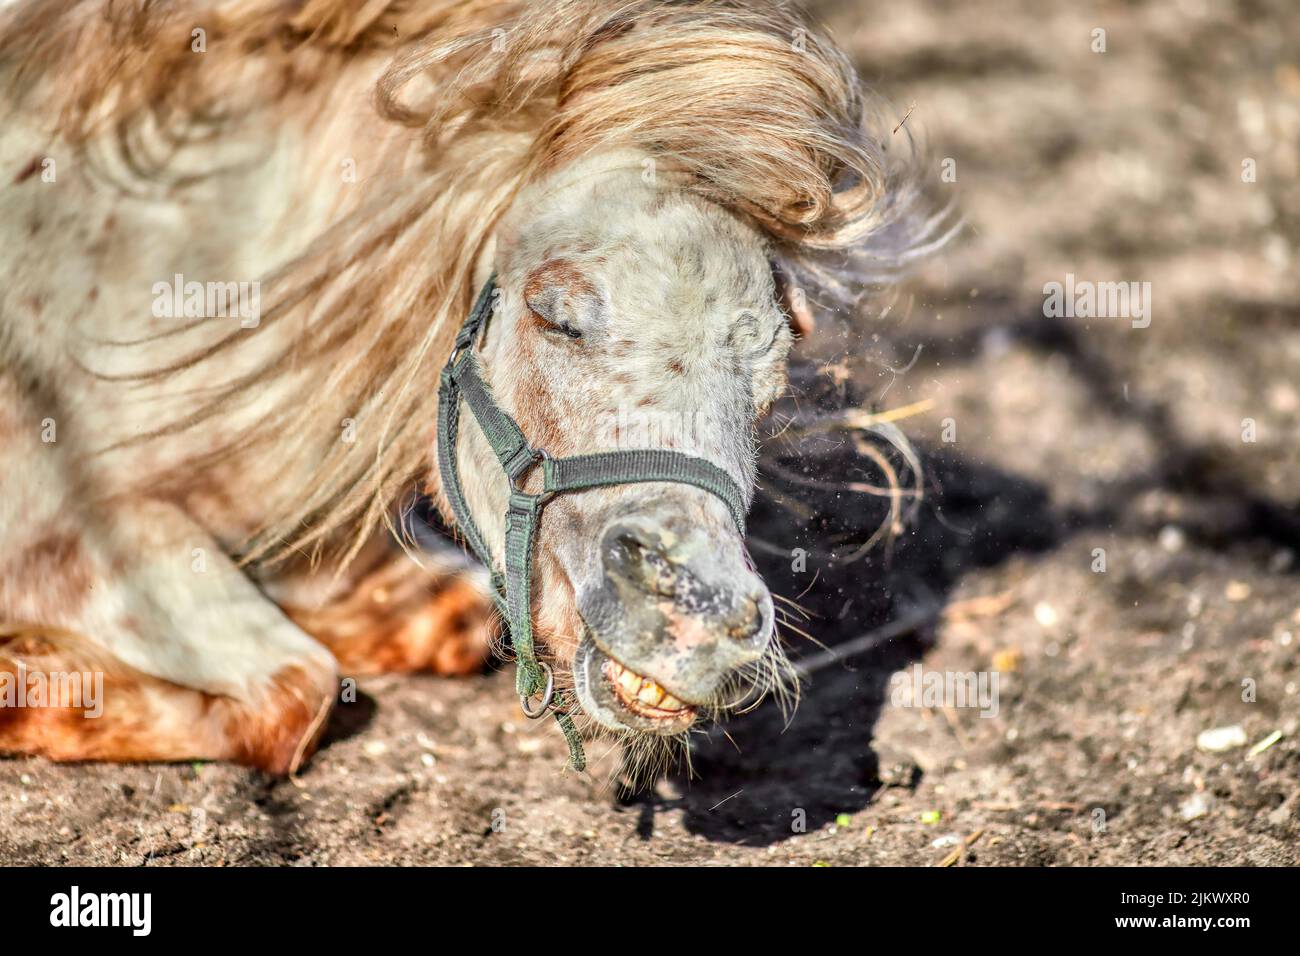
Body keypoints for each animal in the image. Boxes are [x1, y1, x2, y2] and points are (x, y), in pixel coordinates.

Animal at [0, 0, 935, 780]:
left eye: (772, 381)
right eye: (554, 315)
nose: (702, 618)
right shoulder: (68, 531)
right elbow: (295, 691)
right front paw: (23, 685)